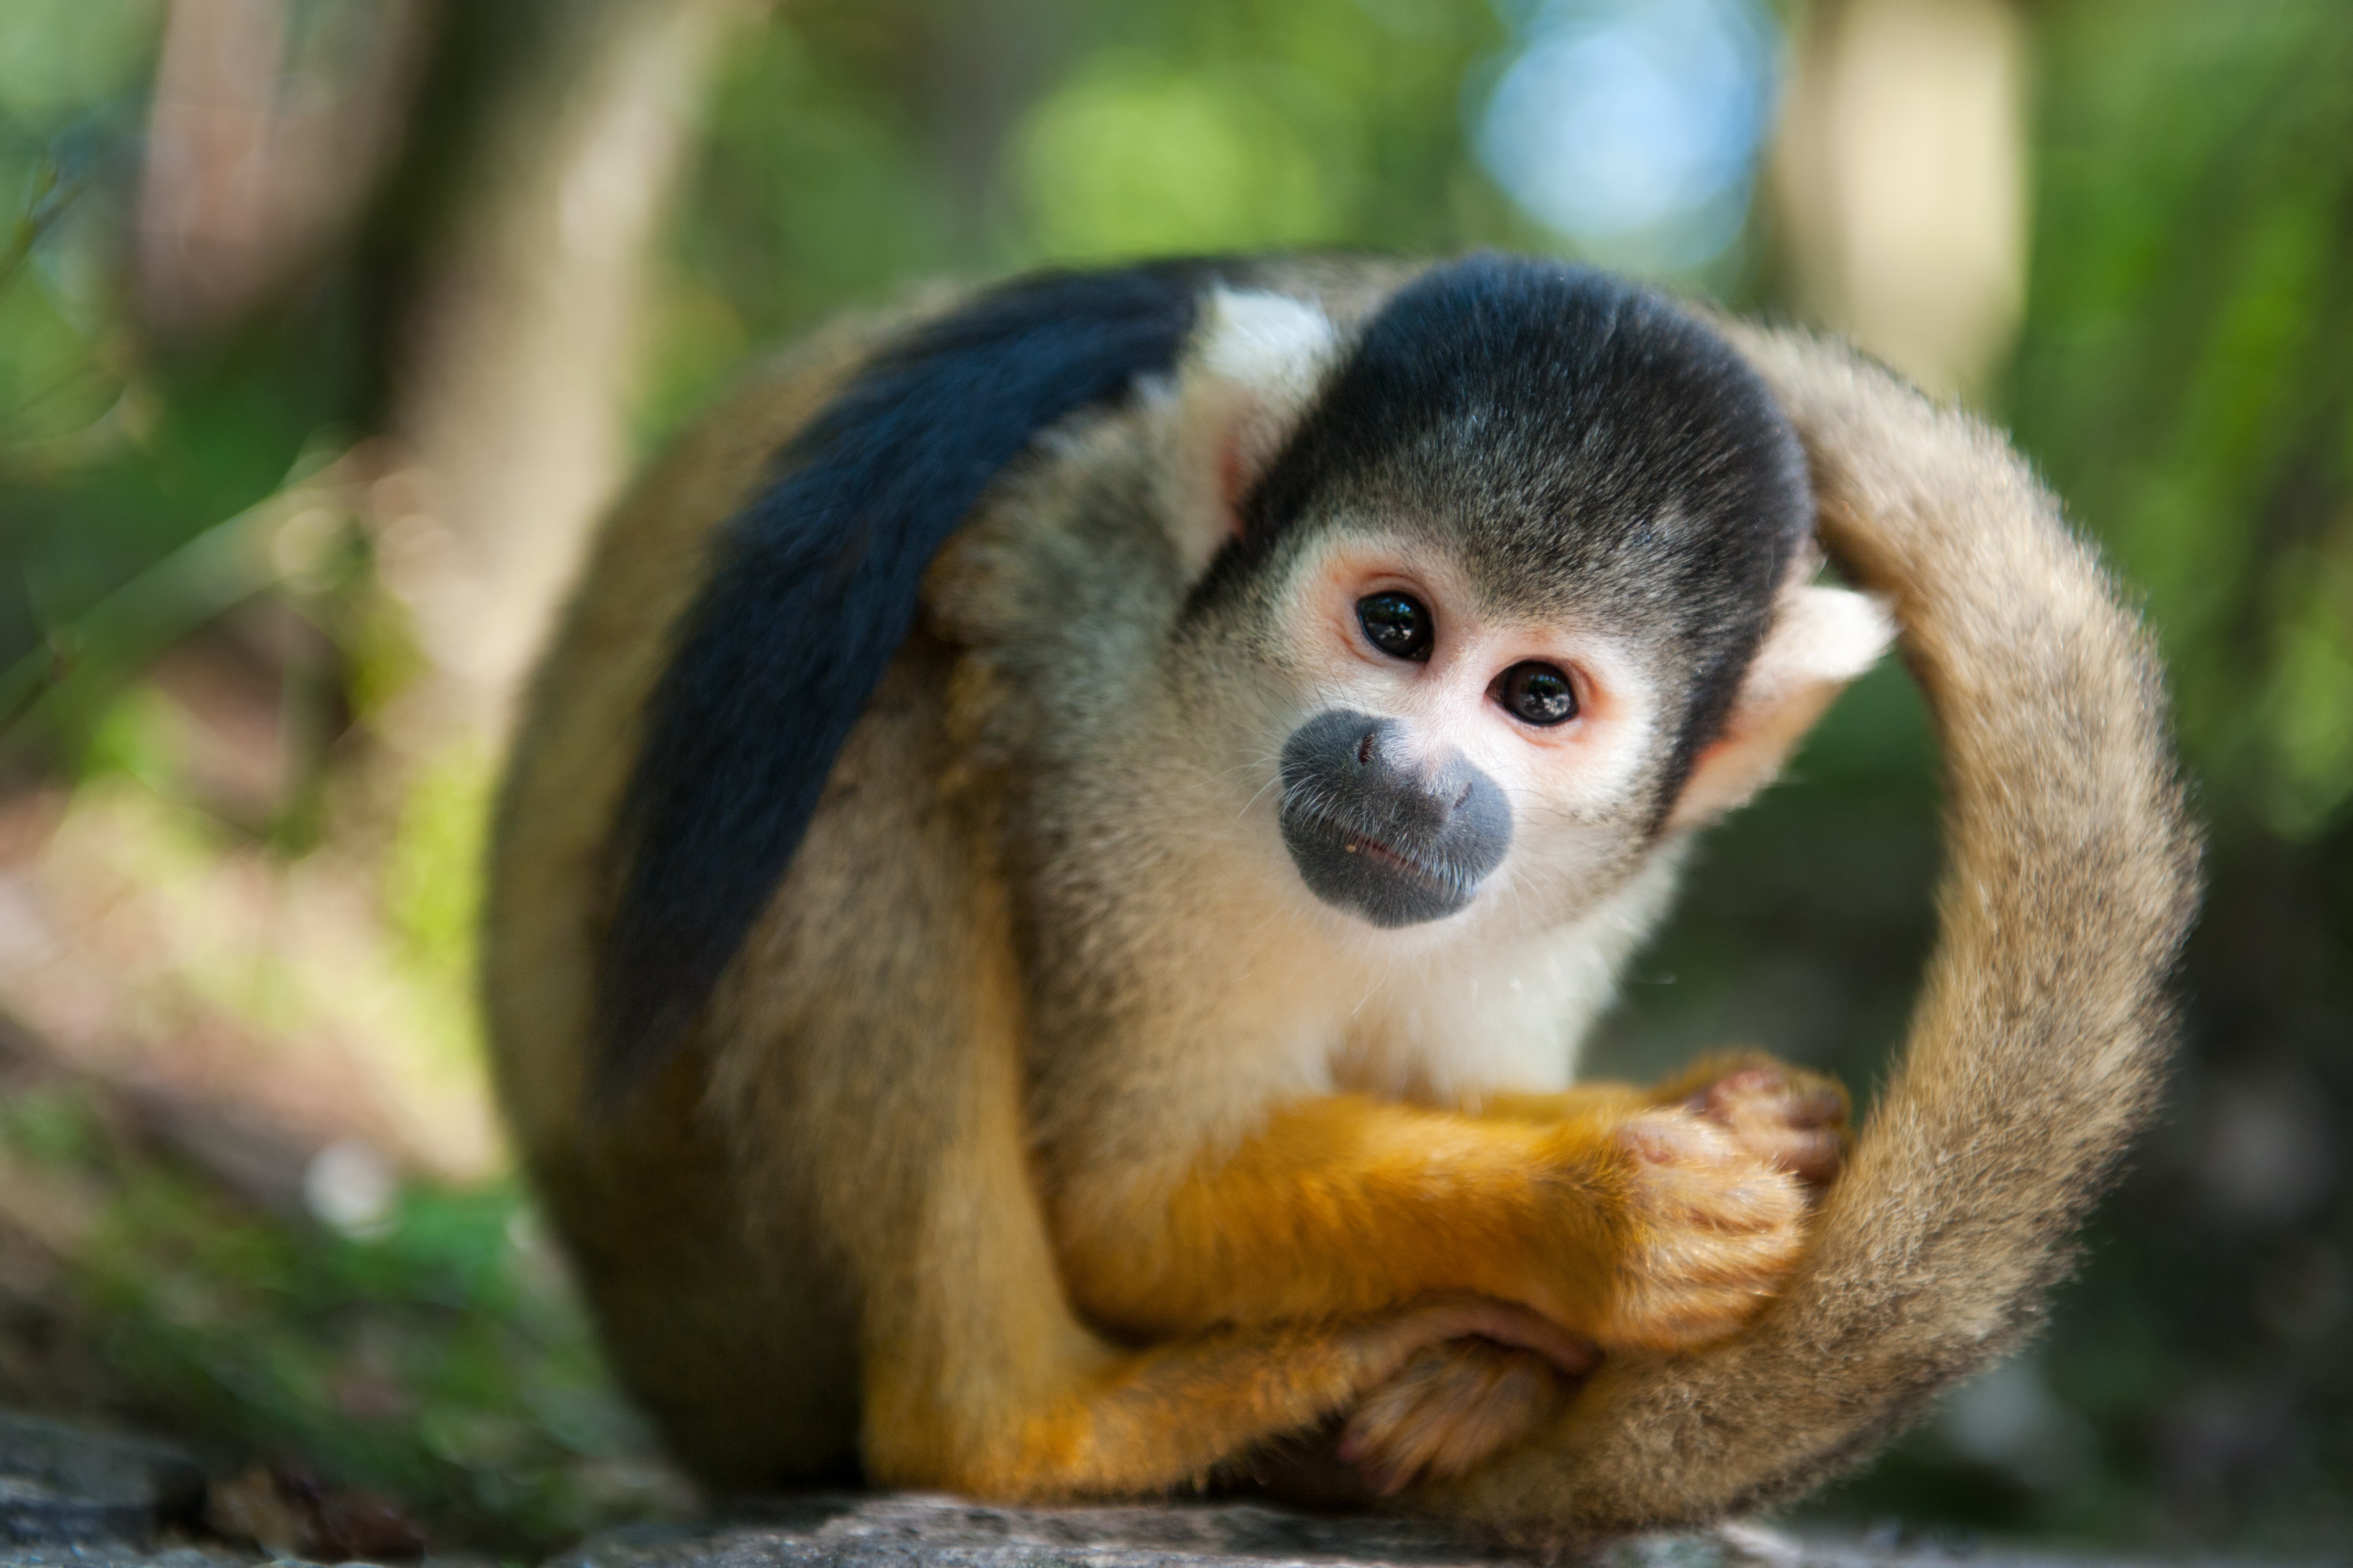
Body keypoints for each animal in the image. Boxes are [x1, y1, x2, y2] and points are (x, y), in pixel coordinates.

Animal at [487, 251, 2192, 1535]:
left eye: (1538, 698)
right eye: (1394, 624)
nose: (1409, 776)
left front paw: (1689, 1136)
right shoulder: (1112, 733)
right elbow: (1130, 1198)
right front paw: (1593, 1216)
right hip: (710, 1273)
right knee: (874, 727)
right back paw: (1029, 1427)